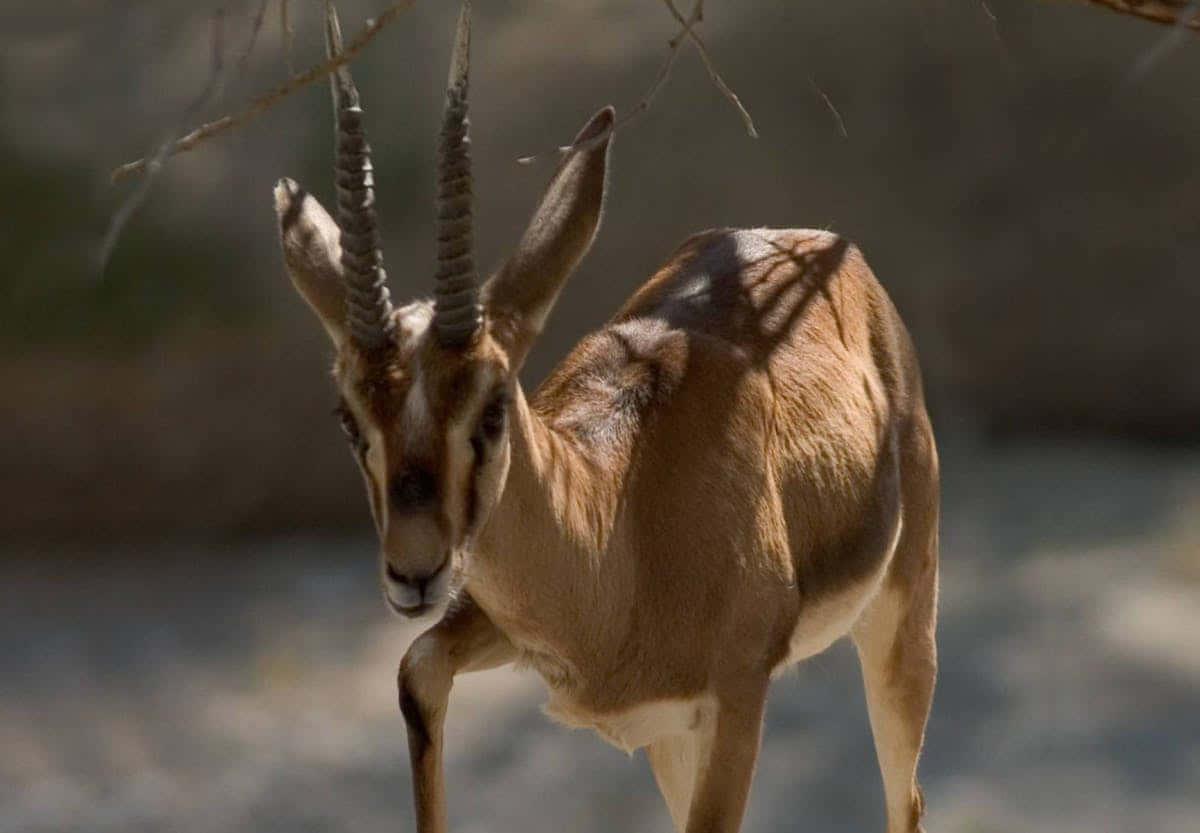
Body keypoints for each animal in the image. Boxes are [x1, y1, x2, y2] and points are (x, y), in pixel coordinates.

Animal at [273, 3, 938, 831]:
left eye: (492, 405)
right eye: (350, 415)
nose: (414, 571)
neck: (620, 519)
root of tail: (819, 245)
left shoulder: (737, 700)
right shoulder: (517, 635)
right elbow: (415, 670)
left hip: (900, 614)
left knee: (905, 797)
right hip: (667, 741)